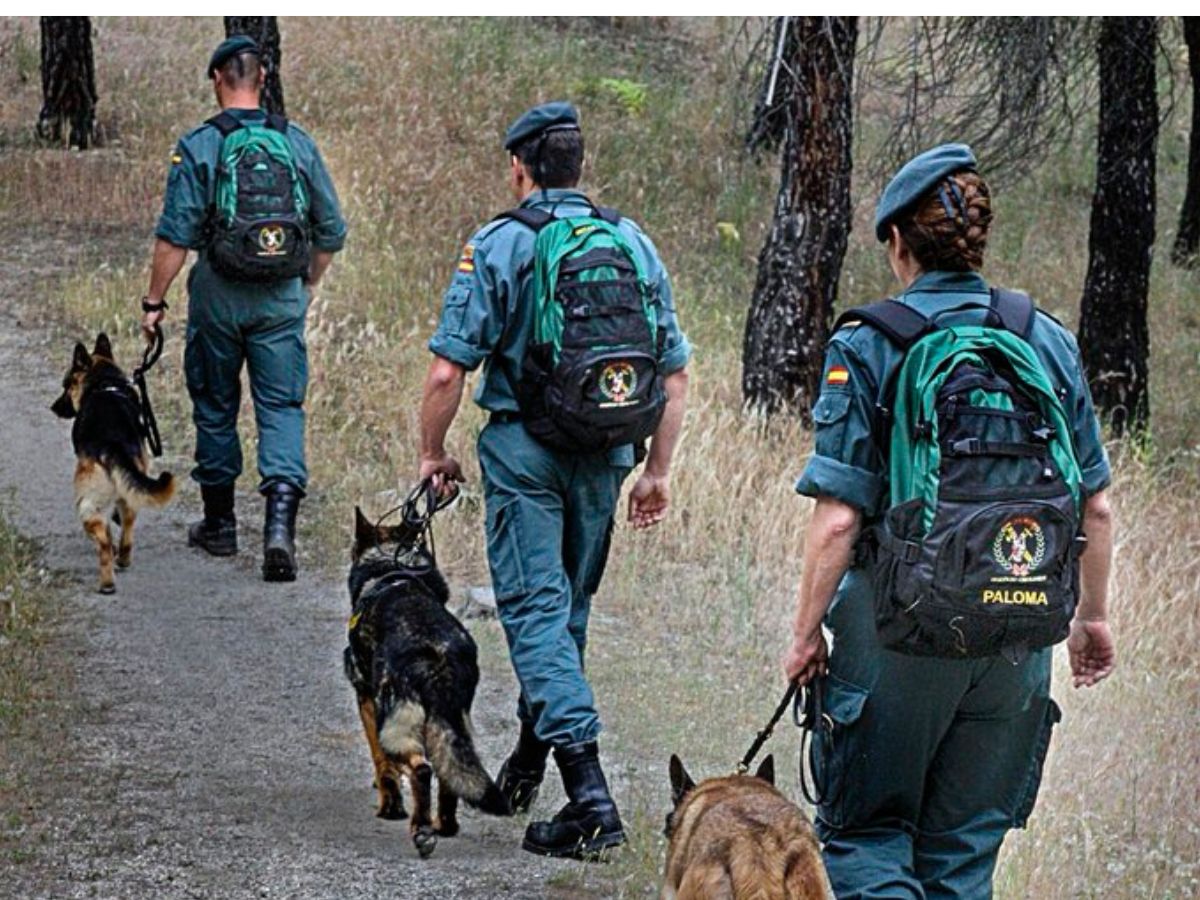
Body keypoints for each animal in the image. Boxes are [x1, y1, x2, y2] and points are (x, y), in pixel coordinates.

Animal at [49, 336, 174, 595]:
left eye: (66, 385)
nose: (53, 407)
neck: (105, 383)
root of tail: (111, 446)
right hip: (129, 497)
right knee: (127, 529)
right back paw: (123, 559)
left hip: (87, 504)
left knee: (104, 541)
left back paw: (107, 581)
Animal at [348, 508, 516, 859]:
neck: (393, 568)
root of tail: (437, 654)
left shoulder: (367, 702)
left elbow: (382, 765)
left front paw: (390, 806)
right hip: (452, 723)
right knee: (447, 771)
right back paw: (444, 825)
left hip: (393, 723)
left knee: (421, 769)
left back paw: (422, 829)